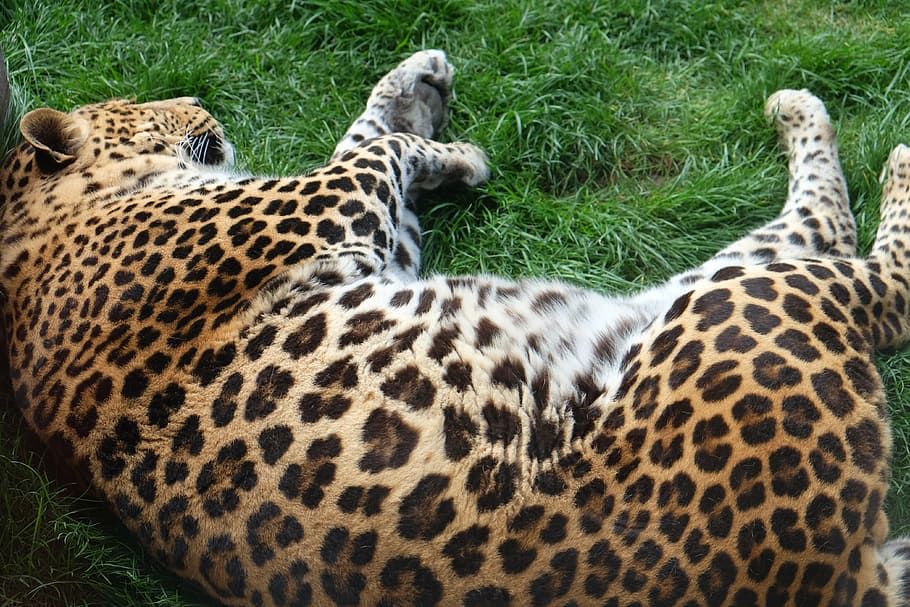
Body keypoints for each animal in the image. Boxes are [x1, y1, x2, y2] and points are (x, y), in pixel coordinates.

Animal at [2, 48, 910, 607]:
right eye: (138, 108)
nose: (196, 99)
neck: (38, 223)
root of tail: (833, 576)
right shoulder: (327, 207)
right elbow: (367, 154)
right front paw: (454, 148)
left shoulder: (380, 242)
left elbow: (369, 135)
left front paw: (420, 92)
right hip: (740, 302)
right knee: (873, 272)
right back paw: (857, 137)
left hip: (691, 297)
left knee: (826, 230)